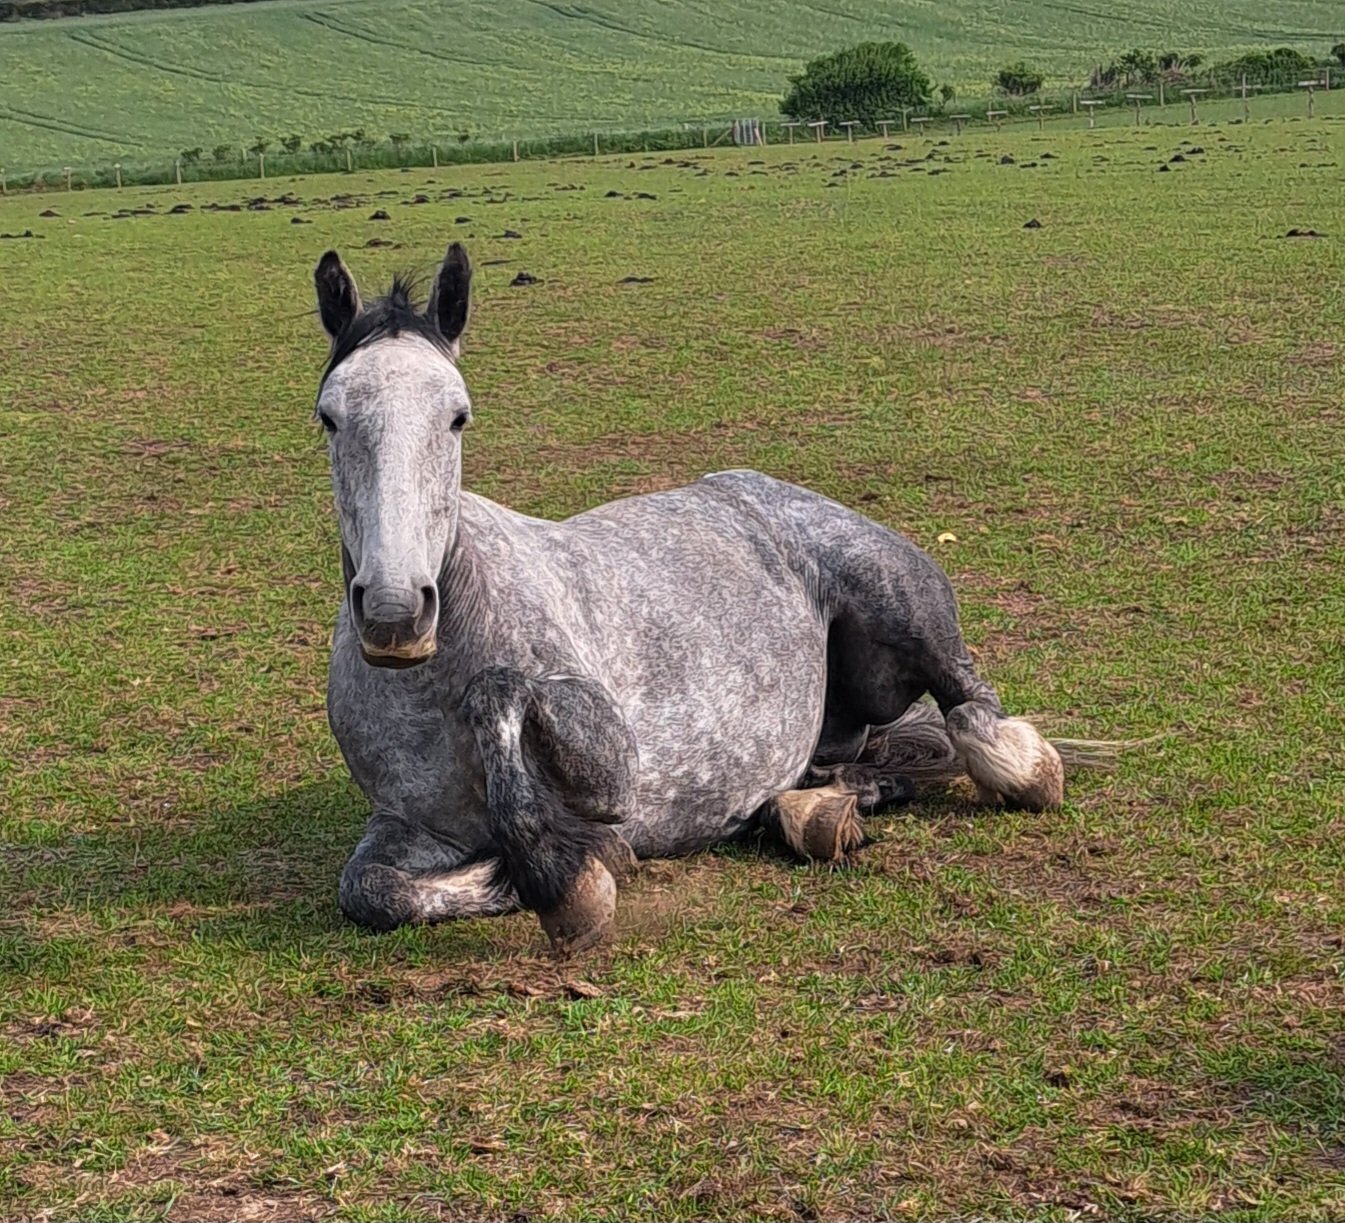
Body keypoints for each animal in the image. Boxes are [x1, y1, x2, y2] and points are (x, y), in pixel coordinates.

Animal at [314, 242, 1077, 953]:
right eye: (328, 417)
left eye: (458, 416)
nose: (394, 612)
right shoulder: (412, 824)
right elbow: (370, 889)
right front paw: (532, 870)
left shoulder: (612, 767)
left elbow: (498, 693)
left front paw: (567, 874)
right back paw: (812, 813)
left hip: (905, 610)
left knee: (979, 715)